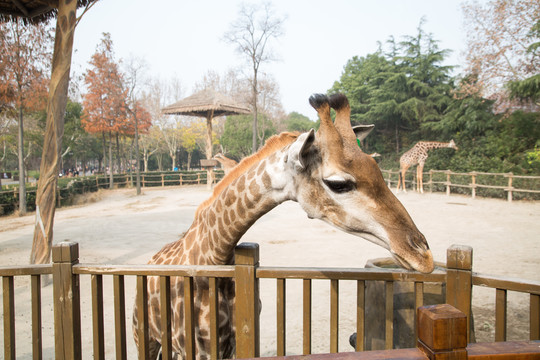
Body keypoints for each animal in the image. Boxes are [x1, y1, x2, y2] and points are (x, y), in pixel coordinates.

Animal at [132, 93, 434, 360]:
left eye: (376, 167)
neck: (213, 256)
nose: (423, 254)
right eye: (338, 183)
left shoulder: (237, 341)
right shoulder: (198, 348)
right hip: (144, 335)